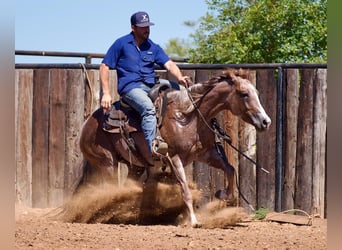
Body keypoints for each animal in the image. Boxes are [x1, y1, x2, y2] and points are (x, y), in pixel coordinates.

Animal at [79, 68, 272, 227]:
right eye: (244, 94)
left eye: (256, 92)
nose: (266, 122)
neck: (187, 116)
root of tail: (87, 124)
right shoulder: (173, 157)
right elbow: (185, 190)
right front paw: (193, 220)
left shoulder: (207, 154)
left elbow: (230, 169)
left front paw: (222, 194)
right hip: (107, 163)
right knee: (107, 188)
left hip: (135, 166)